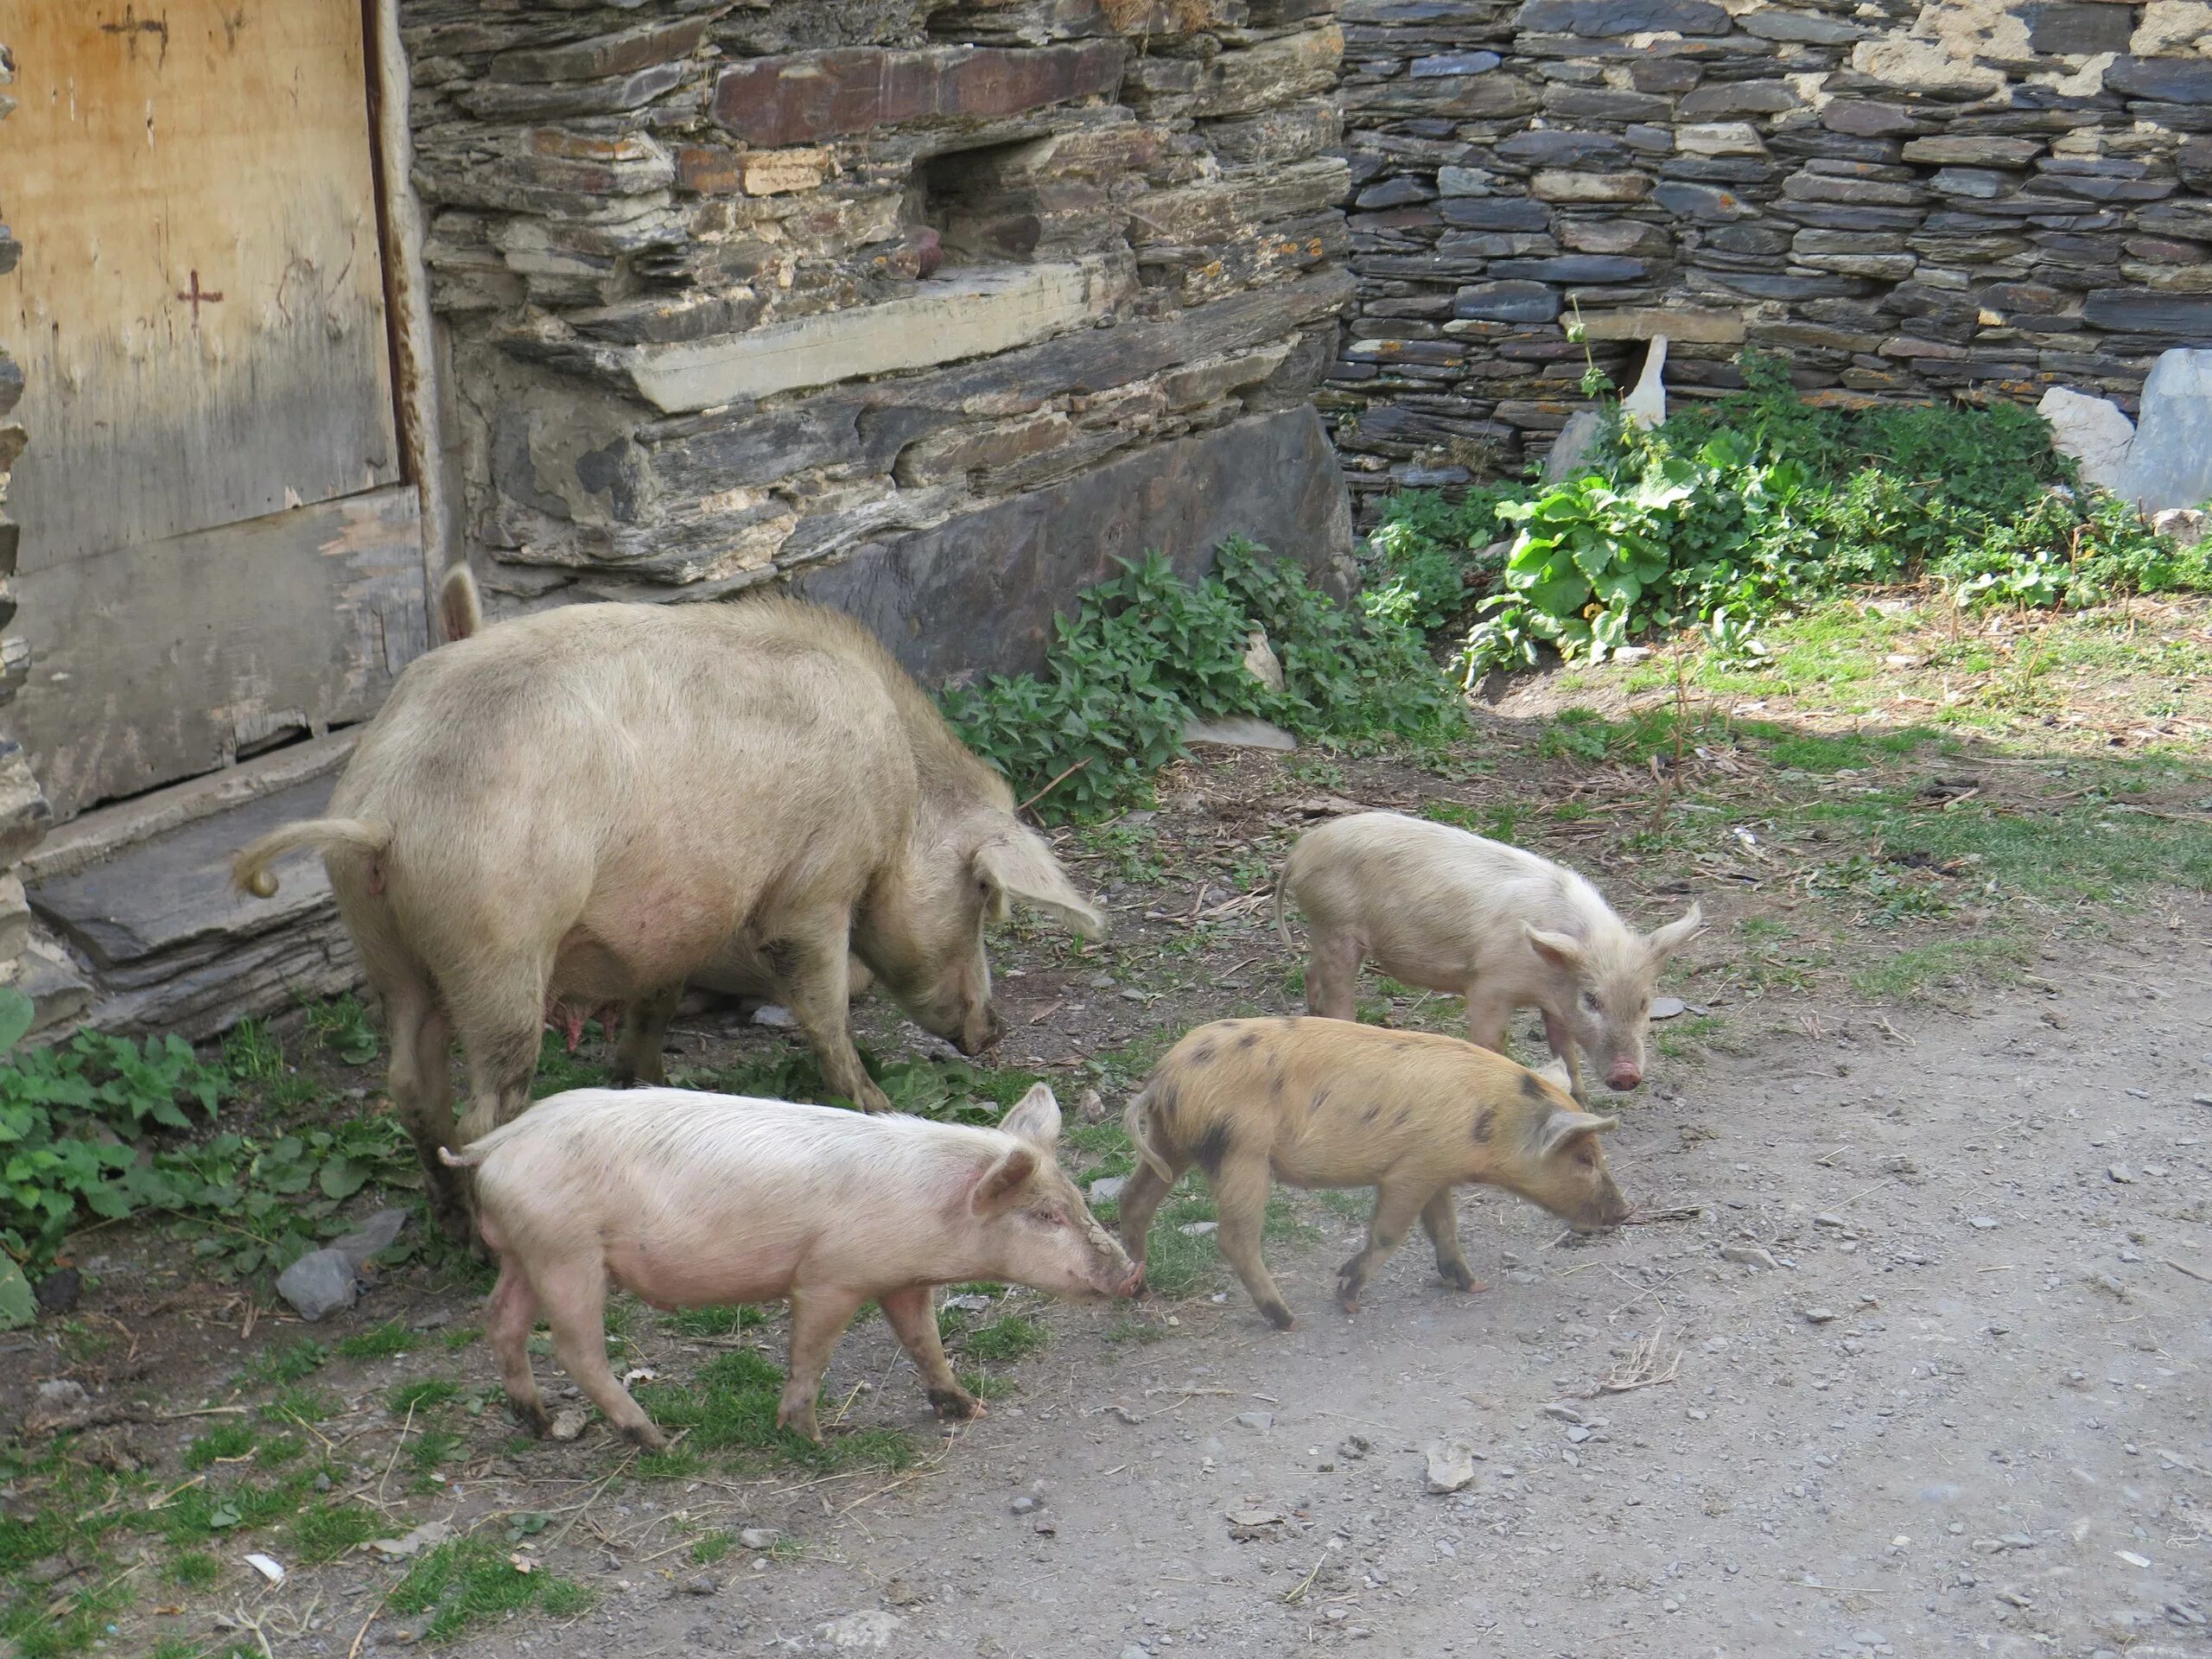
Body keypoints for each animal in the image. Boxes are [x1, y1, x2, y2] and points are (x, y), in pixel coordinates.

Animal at [231, 593, 1096, 1238]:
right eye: (985, 899)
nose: (997, 1032)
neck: (900, 800)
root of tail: (381, 813)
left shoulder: (673, 921)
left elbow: (657, 999)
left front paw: (643, 1081)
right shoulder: (814, 884)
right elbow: (821, 1002)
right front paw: (878, 1105)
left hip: (387, 948)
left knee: (410, 1084)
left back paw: (447, 1218)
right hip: (498, 944)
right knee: (483, 1108)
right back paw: (486, 1238)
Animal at [448, 1084, 1141, 1451]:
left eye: (1077, 1201)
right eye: (1044, 1215)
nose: (1133, 1274)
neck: (932, 1209)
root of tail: (498, 1142)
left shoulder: (901, 1281)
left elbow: (924, 1342)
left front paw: (968, 1408)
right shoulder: (831, 1277)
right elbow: (811, 1354)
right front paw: (809, 1436)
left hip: (525, 1254)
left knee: (500, 1319)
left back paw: (539, 1424)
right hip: (566, 1254)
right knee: (574, 1348)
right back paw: (656, 1440)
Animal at [1123, 1021, 1628, 1336]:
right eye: (1585, 1157)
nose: (1626, 1211)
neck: (1490, 1122)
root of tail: (1163, 1079)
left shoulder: (1436, 1171)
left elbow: (1446, 1229)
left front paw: (1474, 1285)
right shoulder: (1410, 1171)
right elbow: (1390, 1233)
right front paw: (1347, 1296)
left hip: (1173, 1144)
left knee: (1133, 1200)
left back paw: (1139, 1288)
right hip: (1240, 1154)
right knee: (1234, 1240)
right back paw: (1289, 1321)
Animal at [1274, 814, 1699, 1106]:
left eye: (1644, 1003)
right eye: (1592, 1000)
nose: (1627, 1076)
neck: (1544, 978)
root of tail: (1301, 848)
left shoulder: (1555, 1005)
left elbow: (1566, 1051)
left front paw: (1581, 1102)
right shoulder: (1488, 986)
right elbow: (1491, 1041)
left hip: (1325, 932)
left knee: (1311, 973)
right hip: (1336, 925)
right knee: (1338, 993)